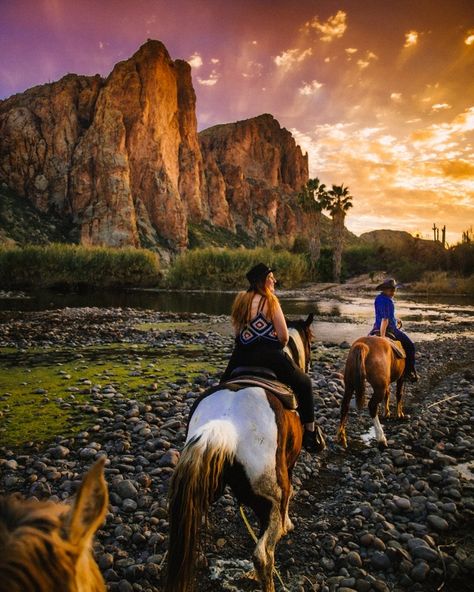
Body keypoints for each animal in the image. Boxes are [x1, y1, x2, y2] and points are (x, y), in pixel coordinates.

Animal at [165, 316, 316, 588]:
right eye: (311, 340)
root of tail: (226, 425)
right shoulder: (290, 466)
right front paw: (289, 524)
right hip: (270, 499)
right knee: (263, 555)